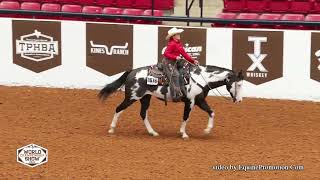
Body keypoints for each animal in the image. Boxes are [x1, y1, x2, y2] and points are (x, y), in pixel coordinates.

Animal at [99, 64, 244, 139]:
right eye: (239, 84)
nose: (239, 100)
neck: (201, 79)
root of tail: (132, 71)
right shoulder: (190, 101)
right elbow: (186, 117)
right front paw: (183, 133)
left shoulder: (199, 100)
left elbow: (211, 112)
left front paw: (207, 130)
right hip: (132, 97)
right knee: (118, 109)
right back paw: (111, 129)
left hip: (145, 98)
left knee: (143, 114)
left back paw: (153, 132)